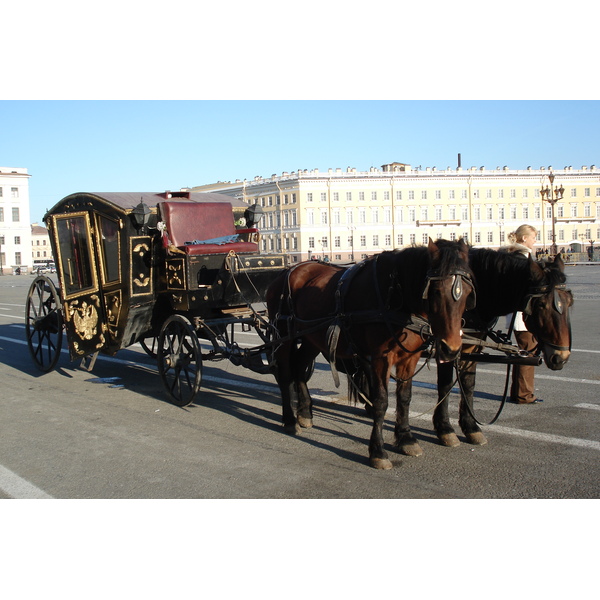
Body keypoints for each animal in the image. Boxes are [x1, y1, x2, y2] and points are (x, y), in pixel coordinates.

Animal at [266, 238, 474, 468]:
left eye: (467, 292)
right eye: (436, 291)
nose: (451, 348)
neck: (394, 292)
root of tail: (287, 271)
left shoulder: (410, 357)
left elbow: (404, 398)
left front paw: (406, 438)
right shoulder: (380, 358)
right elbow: (381, 401)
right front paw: (378, 451)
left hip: (313, 338)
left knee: (299, 367)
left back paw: (304, 412)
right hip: (284, 335)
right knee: (286, 373)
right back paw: (289, 420)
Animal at [394, 247, 572, 454]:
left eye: (570, 302)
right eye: (541, 305)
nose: (561, 357)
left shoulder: (473, 345)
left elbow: (468, 384)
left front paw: (471, 427)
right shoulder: (447, 347)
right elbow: (445, 385)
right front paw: (445, 429)